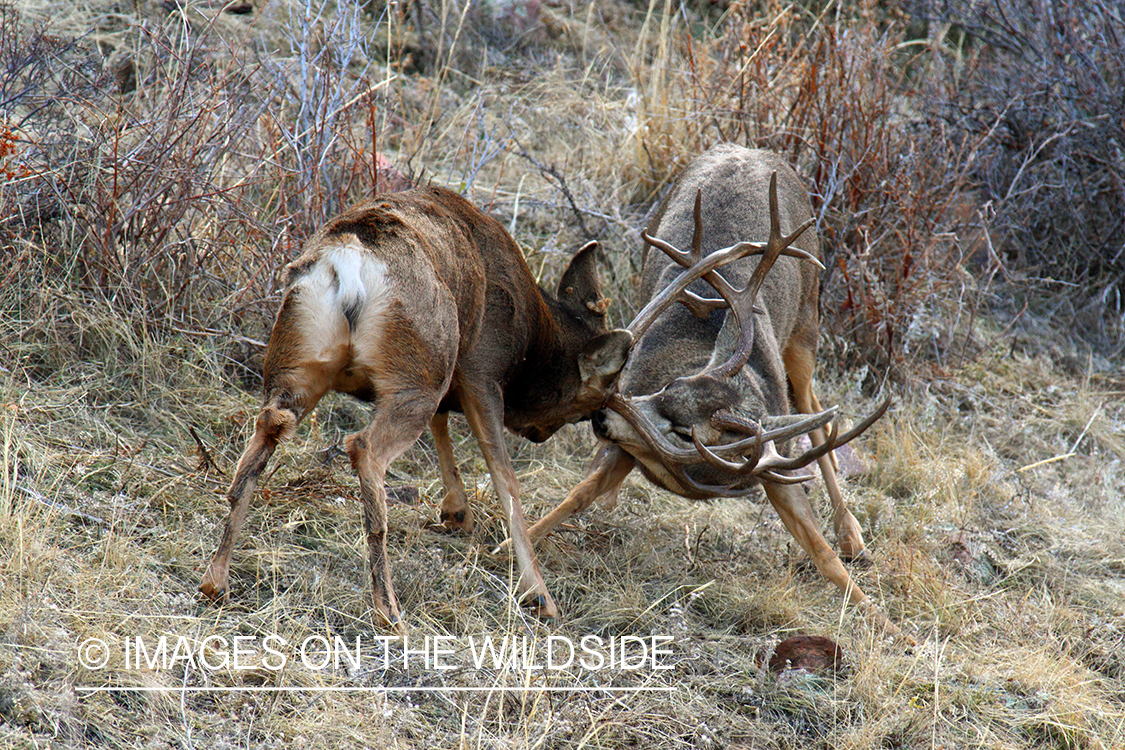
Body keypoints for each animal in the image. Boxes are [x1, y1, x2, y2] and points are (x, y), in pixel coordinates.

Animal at [201, 184, 634, 629]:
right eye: (592, 404)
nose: (541, 434)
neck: (531, 340)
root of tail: (347, 258)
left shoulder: (449, 371)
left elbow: (443, 423)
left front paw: (457, 512)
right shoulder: (480, 368)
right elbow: (504, 476)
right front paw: (539, 594)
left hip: (300, 358)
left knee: (265, 433)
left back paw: (216, 580)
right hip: (414, 370)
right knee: (364, 448)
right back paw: (387, 609)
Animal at [517, 145, 904, 638]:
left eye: (686, 433)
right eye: (668, 387)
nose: (602, 416)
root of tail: (751, 149)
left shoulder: (769, 465)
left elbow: (822, 553)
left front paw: (887, 623)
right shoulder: (630, 434)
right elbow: (577, 495)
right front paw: (510, 544)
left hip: (807, 324)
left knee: (813, 406)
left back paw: (853, 534)